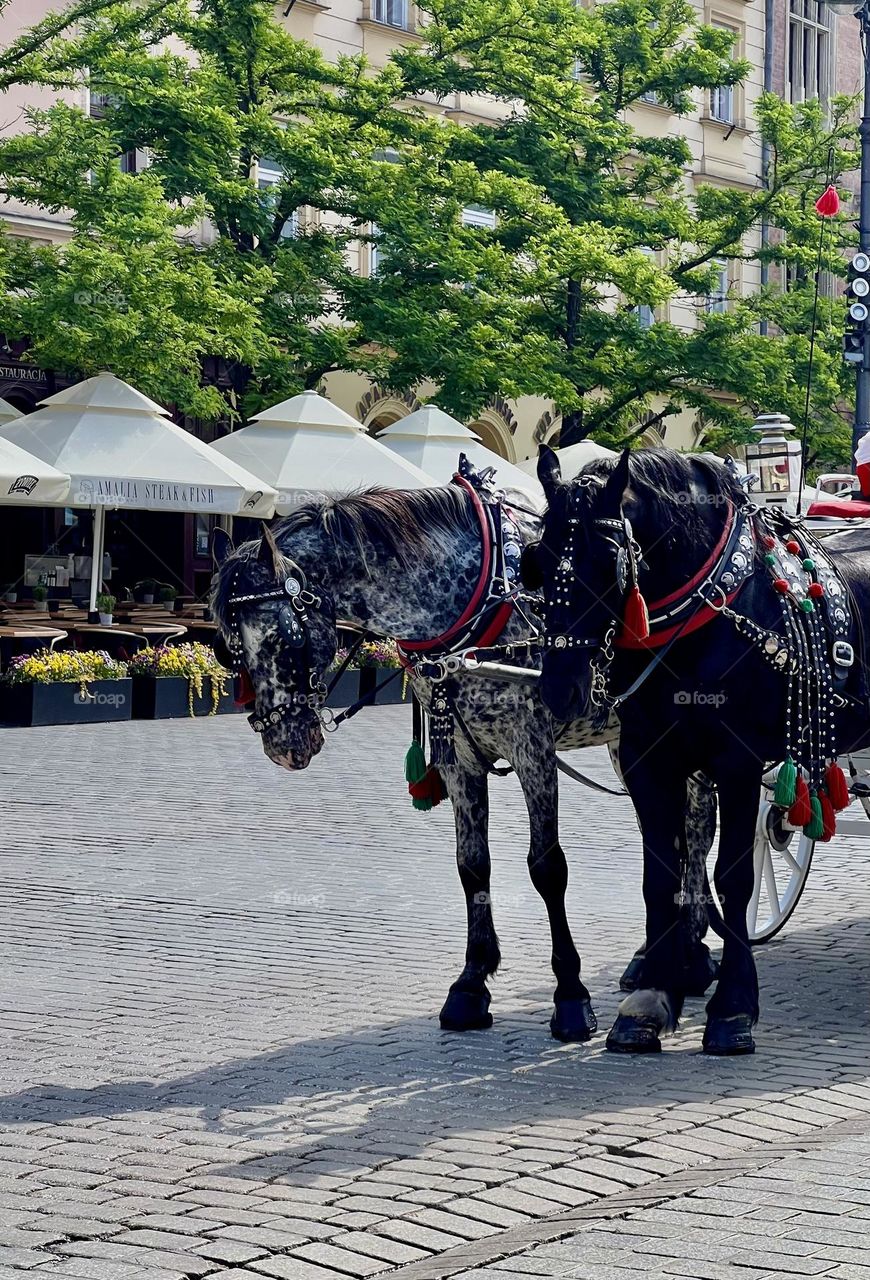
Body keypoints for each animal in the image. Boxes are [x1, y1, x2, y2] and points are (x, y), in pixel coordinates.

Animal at [210, 478, 717, 1041]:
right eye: (230, 650)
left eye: (285, 640)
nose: (286, 745)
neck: (473, 606)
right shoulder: (460, 760)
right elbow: (472, 866)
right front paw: (471, 983)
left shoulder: (532, 749)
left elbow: (547, 868)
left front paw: (570, 995)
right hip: (626, 744)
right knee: (674, 830)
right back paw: (659, 953)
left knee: (698, 827)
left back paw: (690, 953)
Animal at [527, 444, 870, 1056]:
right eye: (539, 557)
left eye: (609, 556)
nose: (560, 688)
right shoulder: (646, 761)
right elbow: (660, 875)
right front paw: (650, 997)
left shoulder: (737, 762)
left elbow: (734, 875)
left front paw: (732, 1007)